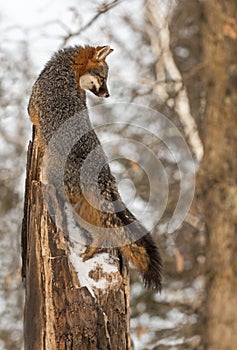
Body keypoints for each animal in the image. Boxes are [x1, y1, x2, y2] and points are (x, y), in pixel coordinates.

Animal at [27, 44, 161, 290]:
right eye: (103, 77)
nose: (108, 94)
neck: (66, 71)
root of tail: (104, 175)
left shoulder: (32, 111)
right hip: (83, 210)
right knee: (104, 234)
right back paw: (89, 256)